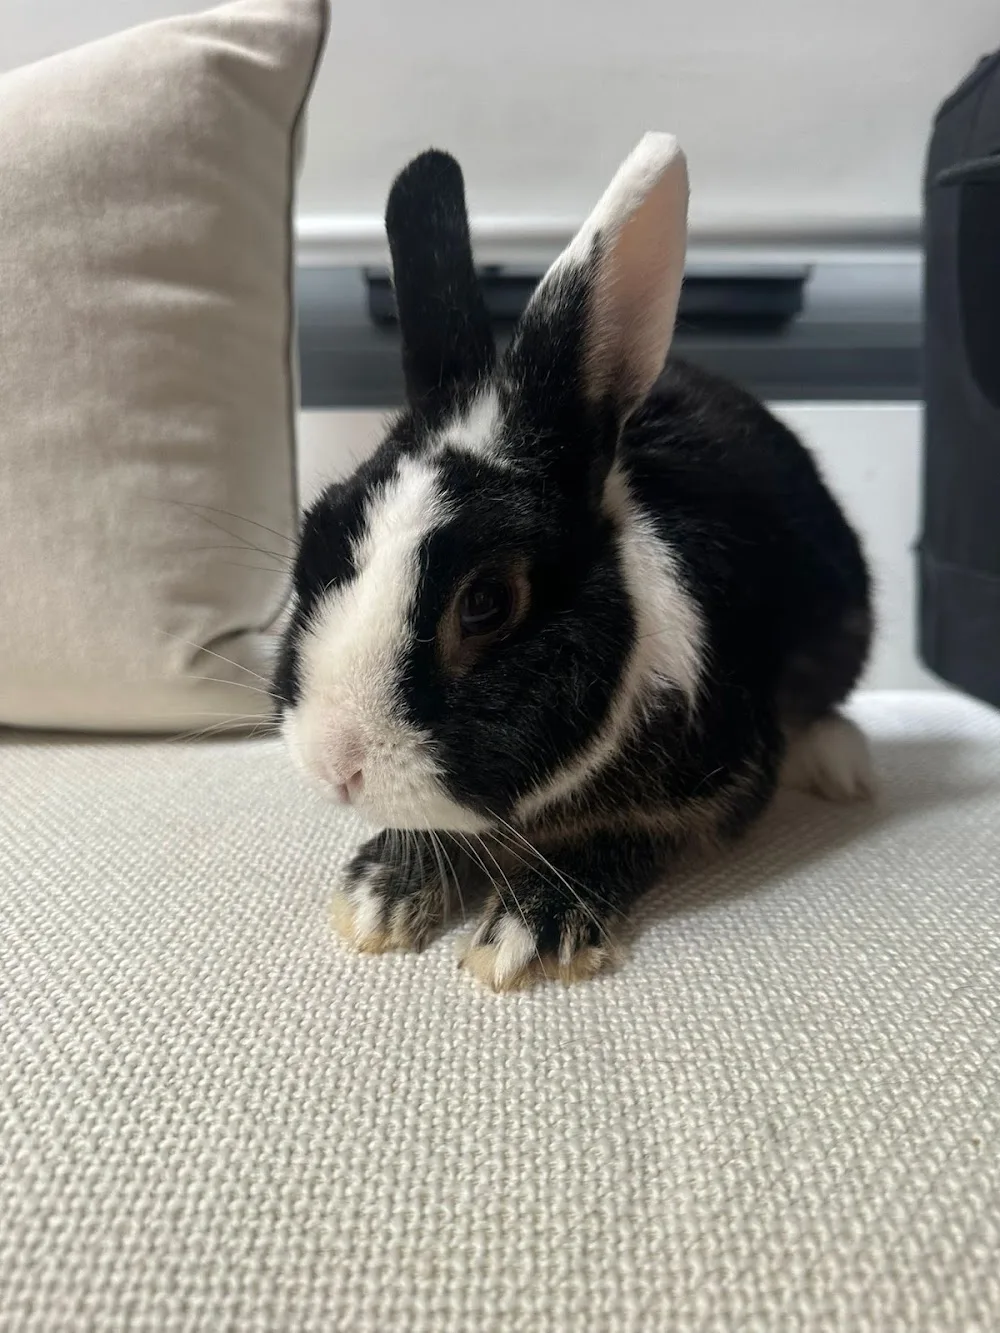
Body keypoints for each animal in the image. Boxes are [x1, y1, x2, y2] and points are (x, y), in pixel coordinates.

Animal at [272, 133, 874, 991]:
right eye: (315, 536)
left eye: (487, 602)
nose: (334, 765)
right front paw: (377, 895)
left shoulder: (722, 771)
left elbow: (622, 836)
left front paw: (531, 930)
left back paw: (843, 765)